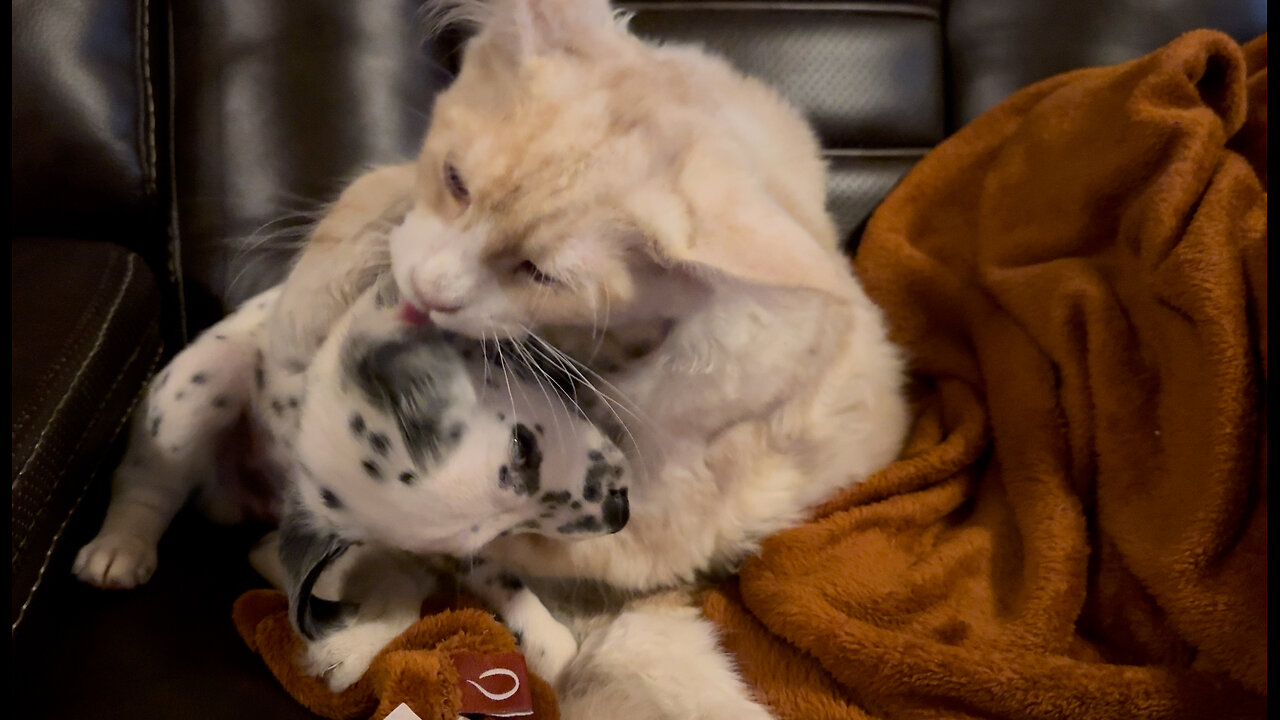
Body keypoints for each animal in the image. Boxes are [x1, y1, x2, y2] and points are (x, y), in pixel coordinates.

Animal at [73, 272, 629, 681]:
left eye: (523, 445)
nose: (618, 513)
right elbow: (401, 588)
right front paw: (353, 647)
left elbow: (497, 576)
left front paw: (543, 635)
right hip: (196, 387)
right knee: (147, 484)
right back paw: (119, 547)